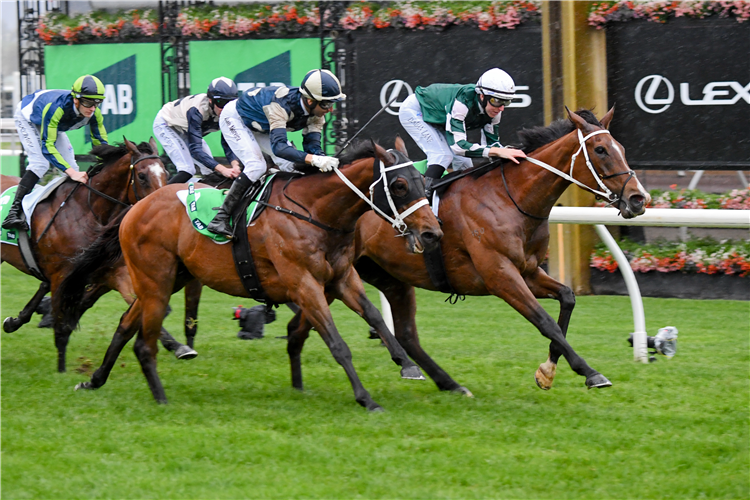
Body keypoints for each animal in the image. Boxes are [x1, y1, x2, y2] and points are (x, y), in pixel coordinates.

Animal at [0, 139, 195, 374]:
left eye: (166, 173)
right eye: (141, 175)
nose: (160, 208)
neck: (88, 212)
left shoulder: (110, 275)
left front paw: (178, 346)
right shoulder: (62, 276)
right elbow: (61, 326)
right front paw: (61, 370)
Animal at [61, 141, 444, 410]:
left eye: (420, 180)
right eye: (399, 185)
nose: (432, 233)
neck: (317, 213)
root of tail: (134, 208)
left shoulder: (340, 278)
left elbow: (376, 316)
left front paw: (407, 364)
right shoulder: (304, 284)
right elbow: (337, 344)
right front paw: (366, 398)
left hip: (169, 279)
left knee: (125, 325)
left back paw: (94, 380)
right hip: (156, 281)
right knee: (143, 342)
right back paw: (160, 398)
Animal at [284, 108, 648, 394]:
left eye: (621, 147)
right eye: (600, 149)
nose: (638, 199)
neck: (511, 197)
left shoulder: (529, 271)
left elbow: (568, 298)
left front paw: (548, 370)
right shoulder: (499, 274)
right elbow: (545, 321)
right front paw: (587, 372)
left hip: (375, 276)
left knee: (395, 333)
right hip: (330, 276)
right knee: (304, 324)